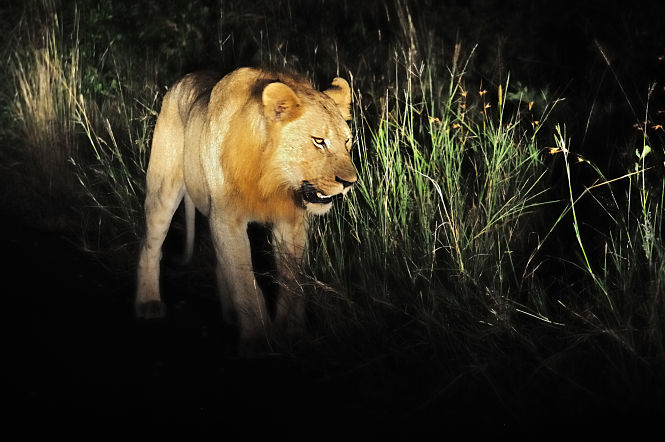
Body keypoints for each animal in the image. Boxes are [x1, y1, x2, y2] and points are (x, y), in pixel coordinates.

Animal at [135, 67, 356, 354]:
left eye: (347, 142)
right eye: (319, 141)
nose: (350, 183)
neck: (270, 177)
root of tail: (186, 77)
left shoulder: (291, 222)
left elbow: (293, 282)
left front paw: (292, 333)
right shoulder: (227, 219)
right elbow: (245, 283)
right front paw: (258, 341)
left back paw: (230, 313)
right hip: (164, 188)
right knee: (150, 246)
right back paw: (148, 302)